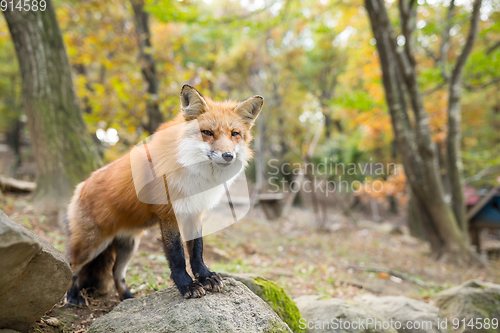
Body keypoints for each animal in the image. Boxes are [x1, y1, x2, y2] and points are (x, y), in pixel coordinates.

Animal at [66, 84, 264, 302]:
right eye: (207, 132)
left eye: (234, 134)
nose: (228, 156)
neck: (193, 173)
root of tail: (81, 185)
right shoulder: (169, 213)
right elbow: (176, 254)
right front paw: (186, 285)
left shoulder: (196, 211)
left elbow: (197, 250)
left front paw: (205, 276)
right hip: (92, 244)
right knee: (72, 266)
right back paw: (72, 297)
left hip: (129, 246)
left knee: (116, 273)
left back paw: (128, 297)